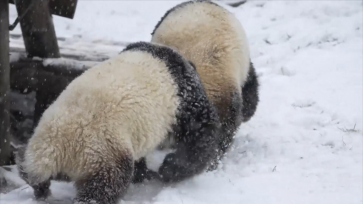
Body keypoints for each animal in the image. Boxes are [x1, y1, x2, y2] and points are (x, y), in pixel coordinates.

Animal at [17, 41, 220, 204]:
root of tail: (54, 151)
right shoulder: (182, 96)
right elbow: (199, 133)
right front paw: (170, 169)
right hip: (100, 149)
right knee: (107, 184)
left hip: (40, 147)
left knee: (31, 173)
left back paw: (38, 186)